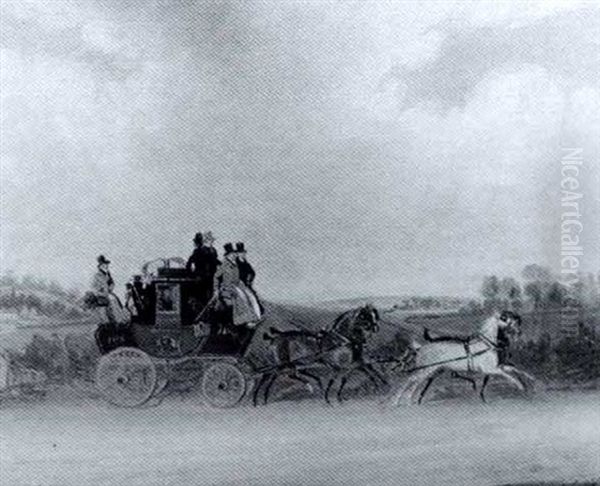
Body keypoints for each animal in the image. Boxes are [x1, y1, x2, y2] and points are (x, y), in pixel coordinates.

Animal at [390, 312, 536, 406]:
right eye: (510, 321)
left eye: (517, 322)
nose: (519, 333)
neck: (487, 345)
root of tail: (421, 348)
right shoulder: (490, 369)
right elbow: (508, 375)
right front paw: (520, 386)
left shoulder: (498, 366)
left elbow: (516, 370)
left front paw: (531, 381)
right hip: (426, 370)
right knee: (409, 381)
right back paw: (399, 401)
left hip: (435, 370)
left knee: (415, 383)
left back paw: (409, 400)